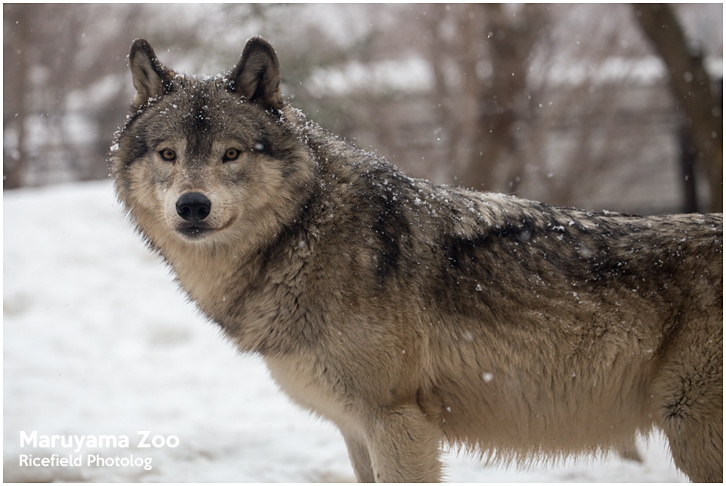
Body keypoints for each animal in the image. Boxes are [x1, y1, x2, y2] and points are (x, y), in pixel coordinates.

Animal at [111, 38, 724, 482]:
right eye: (168, 154)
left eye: (231, 154)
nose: (193, 206)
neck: (305, 235)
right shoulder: (356, 430)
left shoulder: (397, 421)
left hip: (694, 434)